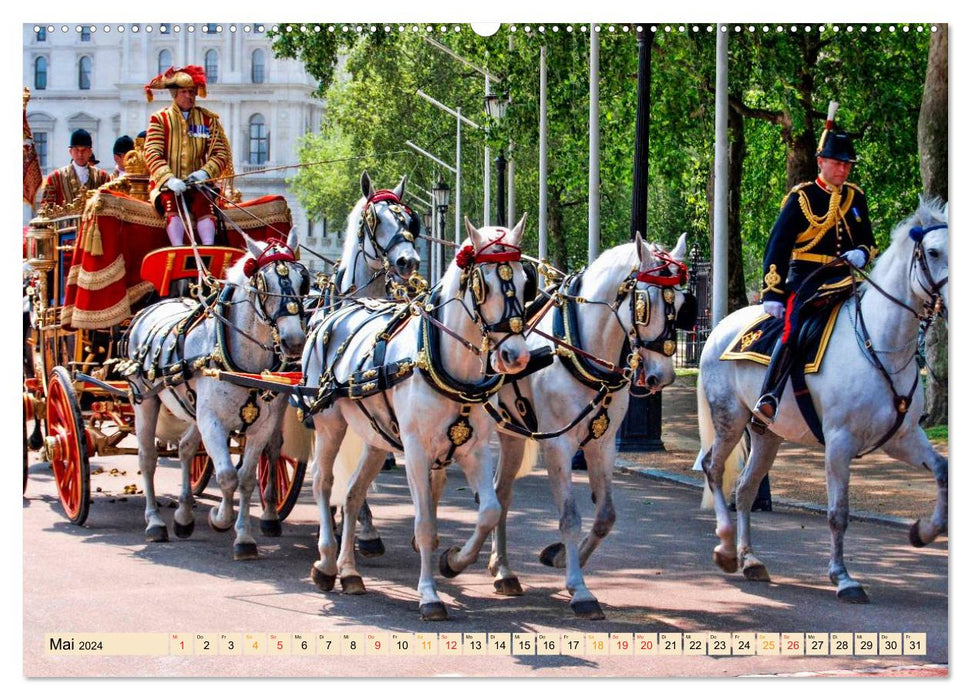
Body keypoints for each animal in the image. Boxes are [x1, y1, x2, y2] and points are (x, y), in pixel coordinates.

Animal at [121, 232, 310, 560]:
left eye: (303, 281)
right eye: (265, 283)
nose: (295, 342)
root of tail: (150, 308)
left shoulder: (260, 426)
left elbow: (245, 479)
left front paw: (244, 537)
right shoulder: (212, 422)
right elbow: (226, 476)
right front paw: (220, 519)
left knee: (185, 449)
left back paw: (184, 516)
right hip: (145, 400)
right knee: (148, 458)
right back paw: (155, 522)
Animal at [304, 215, 532, 616]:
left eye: (524, 281)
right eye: (483, 285)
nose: (515, 356)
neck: (441, 359)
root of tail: (334, 313)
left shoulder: (474, 450)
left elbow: (489, 511)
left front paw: (454, 561)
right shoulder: (414, 451)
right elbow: (425, 523)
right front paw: (429, 595)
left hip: (376, 439)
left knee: (352, 494)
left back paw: (350, 572)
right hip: (330, 425)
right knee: (323, 482)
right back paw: (327, 562)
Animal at [486, 235, 692, 616]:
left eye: (683, 303)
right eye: (644, 303)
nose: (663, 376)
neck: (578, 347)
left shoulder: (602, 444)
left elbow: (605, 515)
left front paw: (561, 559)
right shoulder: (557, 445)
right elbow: (570, 516)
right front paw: (580, 590)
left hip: (512, 434)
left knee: (500, 493)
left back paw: (502, 568)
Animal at [700, 200, 948, 604]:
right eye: (934, 252)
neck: (880, 343)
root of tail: (721, 326)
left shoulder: (903, 437)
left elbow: (942, 470)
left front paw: (923, 532)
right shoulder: (839, 442)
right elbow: (837, 513)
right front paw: (843, 578)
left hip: (767, 433)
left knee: (747, 487)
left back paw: (751, 560)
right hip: (730, 419)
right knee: (714, 467)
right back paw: (725, 548)